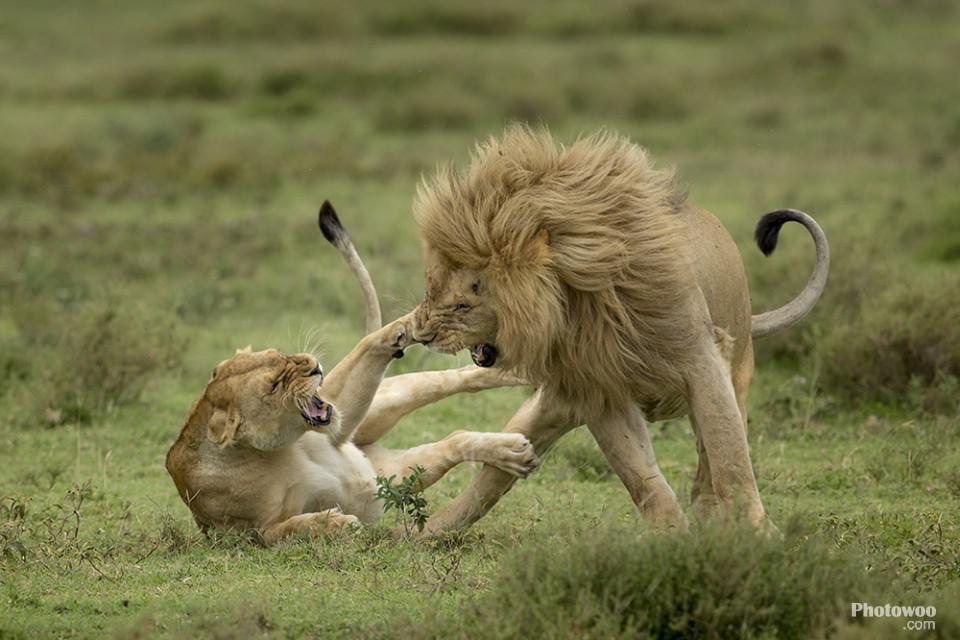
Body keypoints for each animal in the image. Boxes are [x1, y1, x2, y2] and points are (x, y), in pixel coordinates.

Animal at [167, 202, 540, 544]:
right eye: (274, 385)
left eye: (279, 354)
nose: (314, 366)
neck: (260, 453)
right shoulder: (244, 534)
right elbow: (287, 529)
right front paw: (335, 523)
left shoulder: (336, 429)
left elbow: (372, 346)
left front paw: (407, 327)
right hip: (392, 465)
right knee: (454, 438)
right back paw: (514, 451)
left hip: (383, 404)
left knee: (449, 381)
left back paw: (522, 375)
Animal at [408, 125, 828, 528]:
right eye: (430, 287)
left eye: (463, 304)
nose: (421, 335)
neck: (581, 305)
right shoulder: (597, 386)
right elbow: (641, 477)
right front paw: (671, 535)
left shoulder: (702, 363)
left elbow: (730, 459)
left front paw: (757, 532)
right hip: (547, 410)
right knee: (490, 477)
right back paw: (421, 532)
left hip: (736, 369)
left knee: (713, 456)